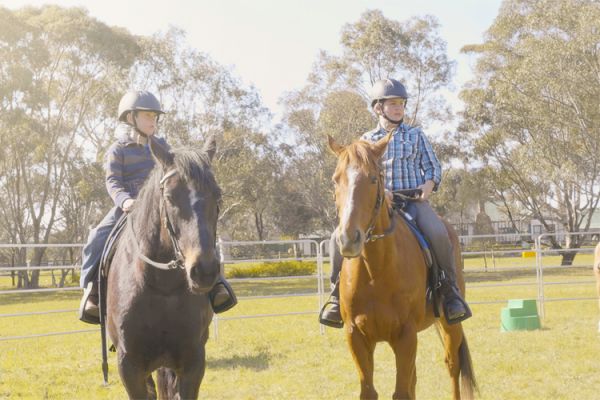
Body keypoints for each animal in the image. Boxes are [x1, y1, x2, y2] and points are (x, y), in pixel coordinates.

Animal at [106, 136, 223, 398]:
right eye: (169, 197)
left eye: (218, 196)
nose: (204, 270)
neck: (162, 288)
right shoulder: (129, 367)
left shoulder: (193, 363)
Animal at [326, 134, 476, 400]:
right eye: (336, 179)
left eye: (373, 178)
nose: (349, 239)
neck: (375, 271)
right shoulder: (356, 336)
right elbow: (370, 391)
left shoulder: (405, 335)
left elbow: (402, 392)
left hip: (450, 324)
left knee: (452, 364)